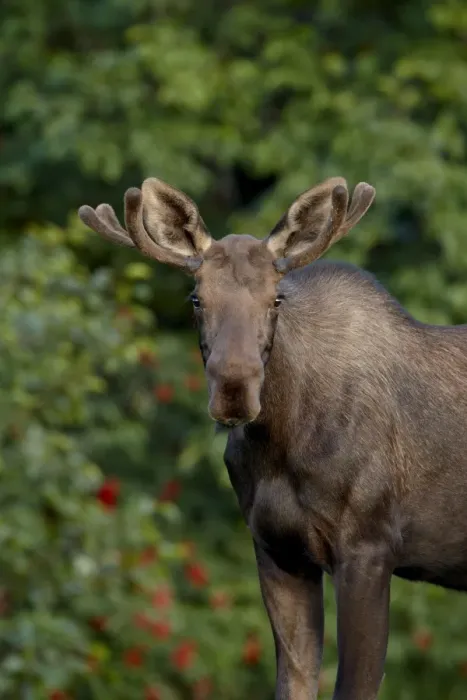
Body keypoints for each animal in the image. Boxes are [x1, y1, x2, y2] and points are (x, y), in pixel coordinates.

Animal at [79, 176, 467, 700]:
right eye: (196, 298)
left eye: (275, 298)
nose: (234, 390)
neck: (282, 445)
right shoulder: (277, 550)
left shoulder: (370, 547)